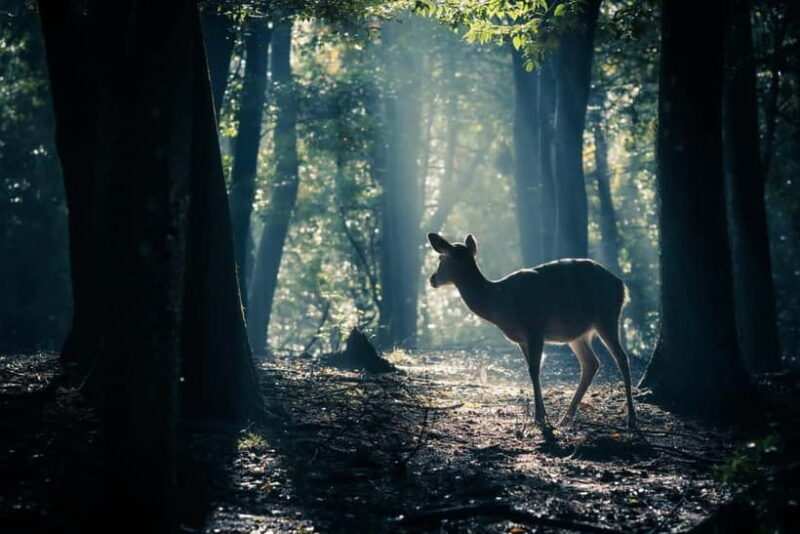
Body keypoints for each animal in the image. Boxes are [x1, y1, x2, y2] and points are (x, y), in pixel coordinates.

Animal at [427, 233, 638, 432]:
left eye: (441, 258)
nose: (432, 279)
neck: (500, 302)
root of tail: (622, 286)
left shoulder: (535, 327)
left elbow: (534, 369)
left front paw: (539, 418)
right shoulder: (522, 339)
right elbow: (531, 369)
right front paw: (544, 417)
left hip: (607, 315)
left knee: (621, 358)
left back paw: (631, 419)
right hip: (579, 334)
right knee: (591, 363)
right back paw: (565, 419)